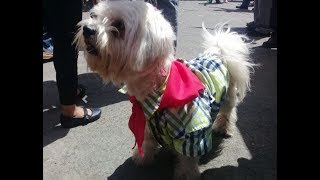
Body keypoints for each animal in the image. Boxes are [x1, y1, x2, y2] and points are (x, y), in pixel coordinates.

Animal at [74, 0, 255, 179]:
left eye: (119, 25)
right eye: (94, 16)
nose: (87, 29)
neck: (159, 88)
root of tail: (218, 53)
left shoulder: (192, 132)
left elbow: (188, 159)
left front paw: (186, 175)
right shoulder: (146, 124)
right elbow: (147, 142)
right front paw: (143, 158)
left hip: (227, 98)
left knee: (228, 113)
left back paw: (224, 128)